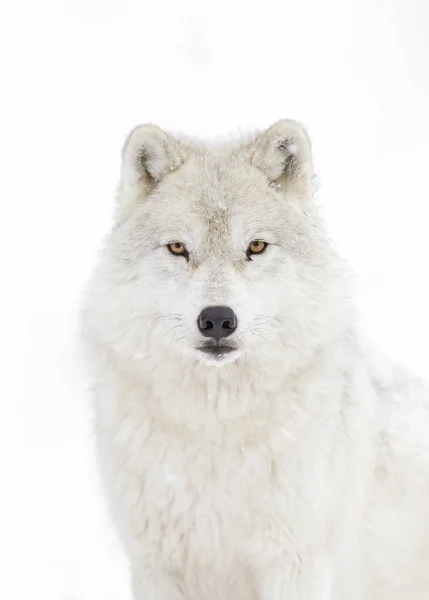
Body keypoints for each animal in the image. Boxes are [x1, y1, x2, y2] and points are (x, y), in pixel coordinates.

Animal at [81, 119, 428, 596]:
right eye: (177, 248)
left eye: (257, 246)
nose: (217, 320)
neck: (214, 428)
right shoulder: (157, 567)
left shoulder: (294, 564)